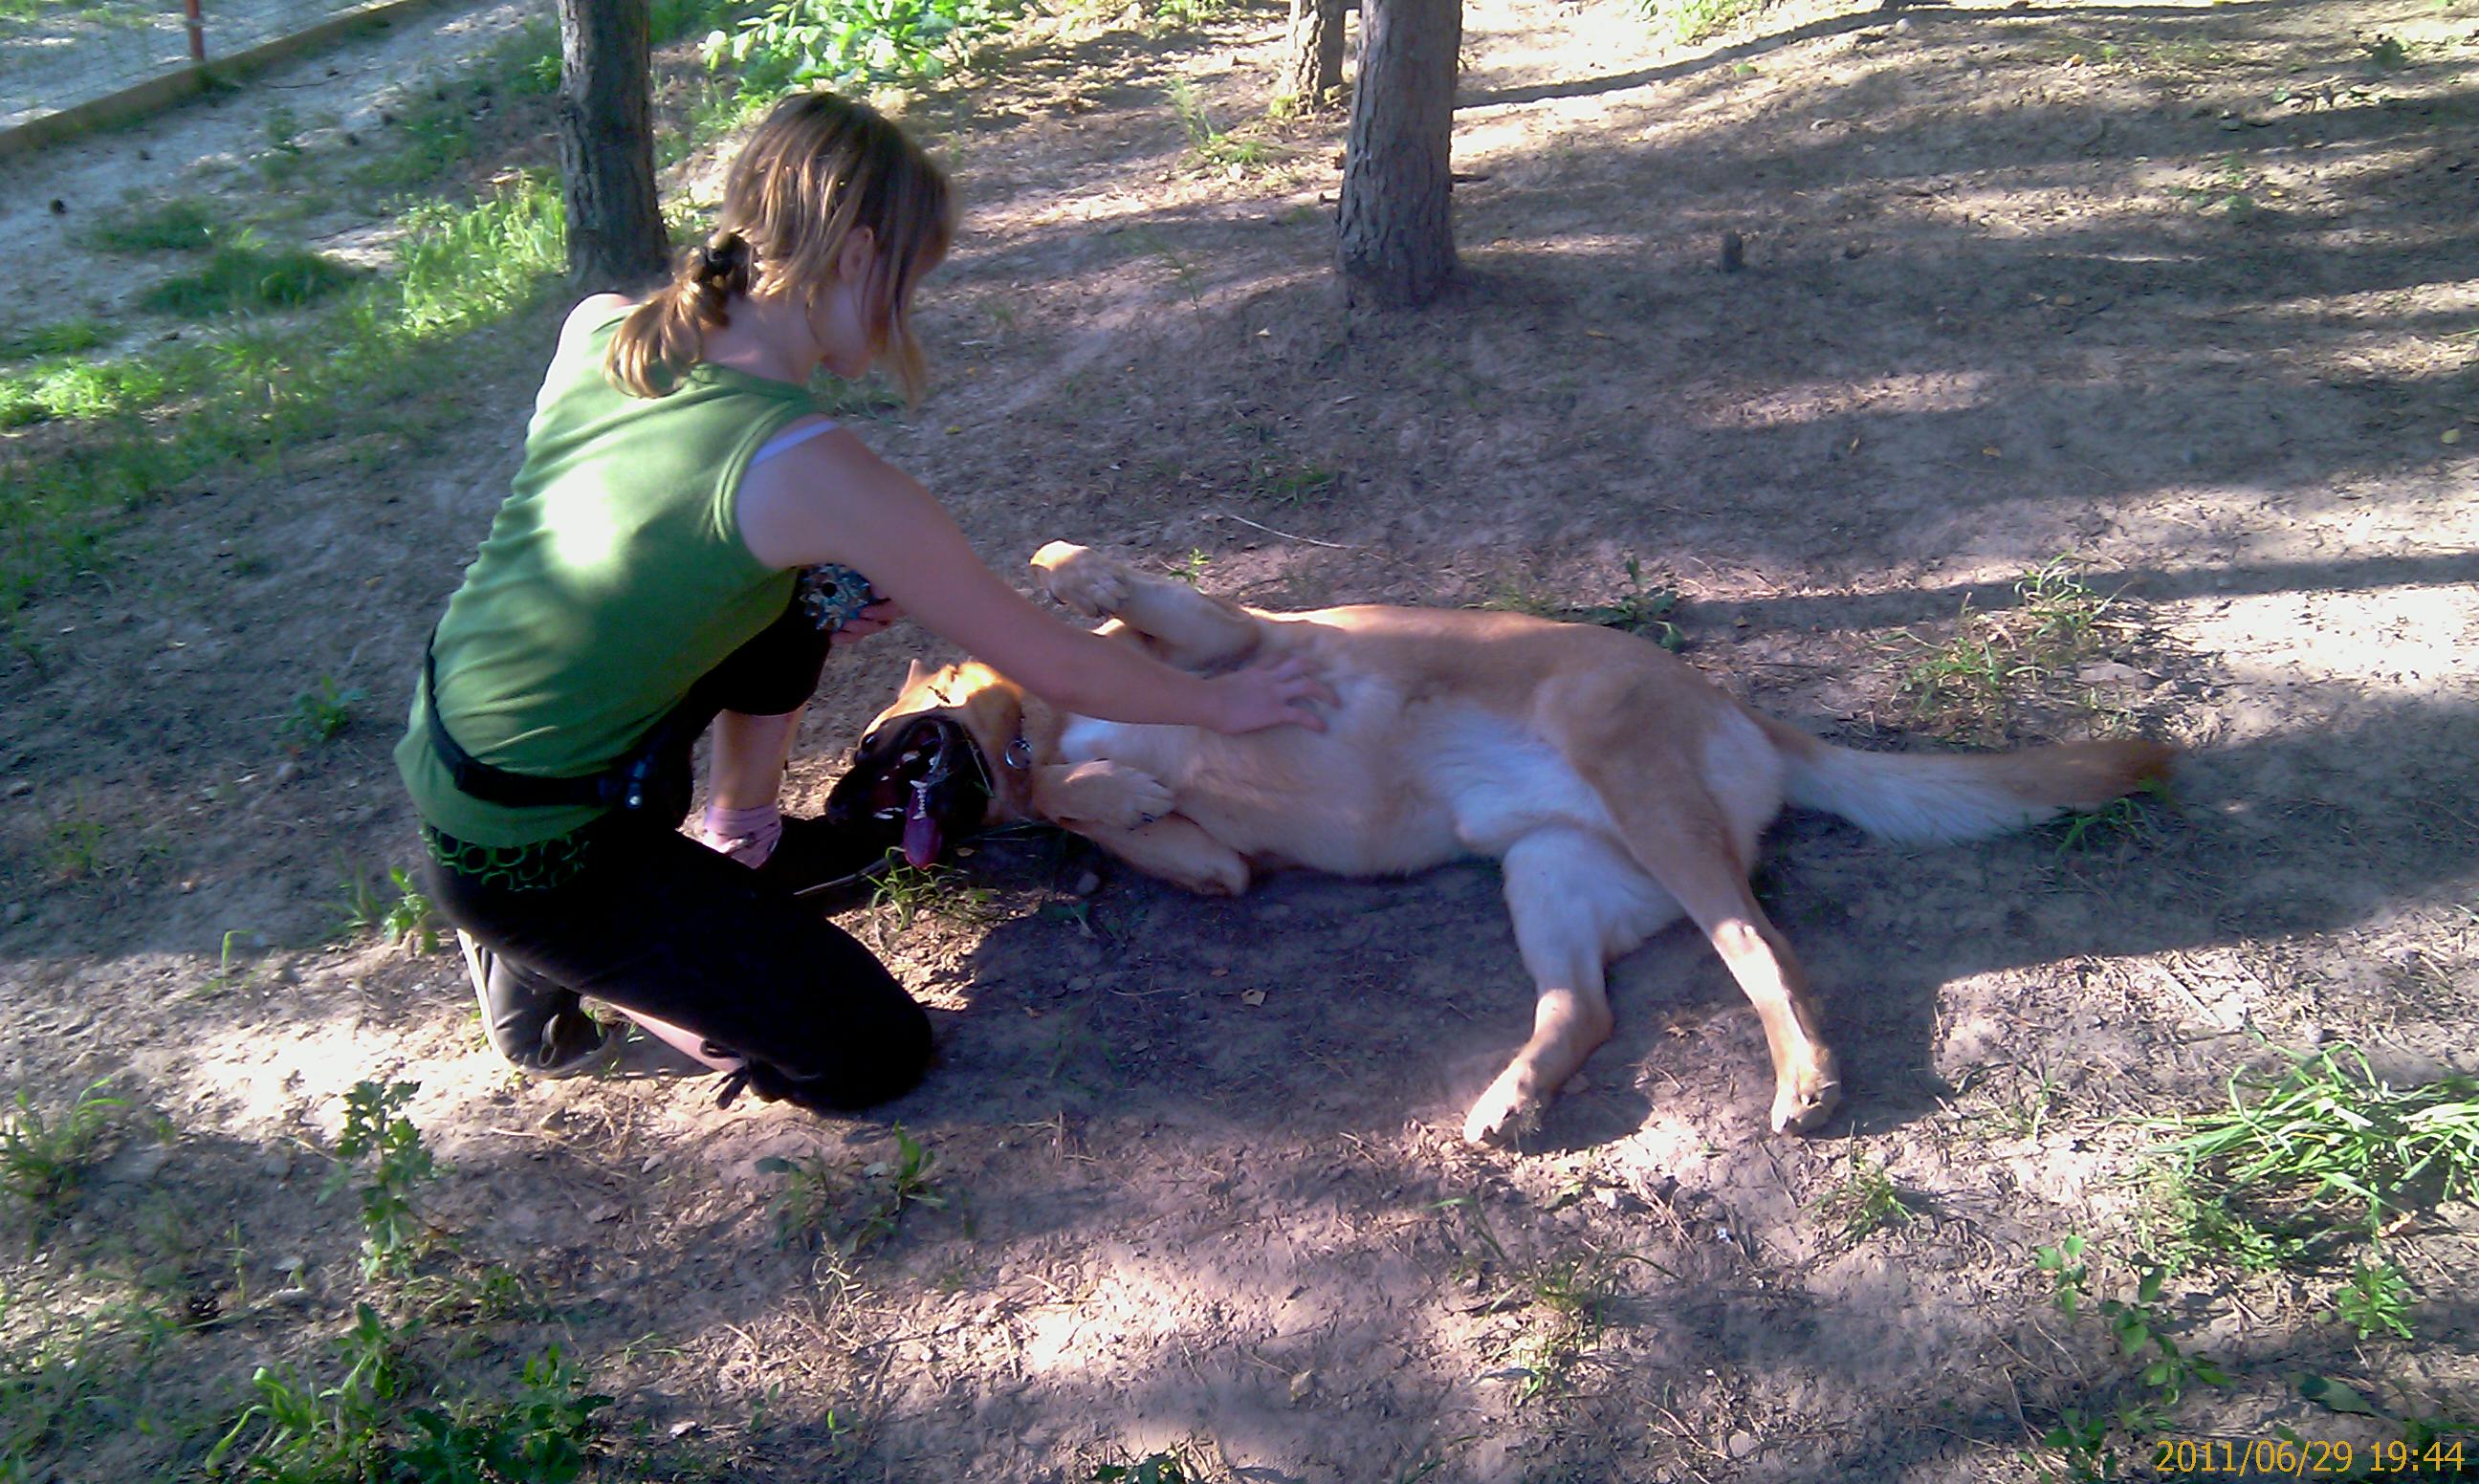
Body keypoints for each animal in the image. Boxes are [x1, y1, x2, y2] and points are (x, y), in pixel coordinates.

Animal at [824, 542, 2173, 1144]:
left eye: (886, 756)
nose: (845, 816)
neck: (1051, 715)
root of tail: (1747, 719)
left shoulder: (1225, 636)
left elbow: (1098, 594)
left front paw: (1069, 585)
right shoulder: (1224, 859)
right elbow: (1115, 812)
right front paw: (1110, 791)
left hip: (1648, 805)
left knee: (1769, 954)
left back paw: (1805, 1075)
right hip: (1549, 879)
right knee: (1591, 1009)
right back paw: (1517, 1096)